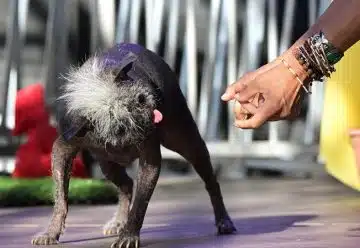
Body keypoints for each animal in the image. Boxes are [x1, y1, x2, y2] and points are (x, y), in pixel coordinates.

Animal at [29, 43, 235, 248]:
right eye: (120, 127)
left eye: (141, 99)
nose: (150, 119)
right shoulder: (62, 149)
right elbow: (60, 198)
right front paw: (51, 232)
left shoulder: (150, 161)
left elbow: (140, 204)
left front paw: (128, 236)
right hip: (107, 164)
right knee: (126, 184)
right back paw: (118, 221)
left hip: (188, 144)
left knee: (211, 181)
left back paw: (224, 221)